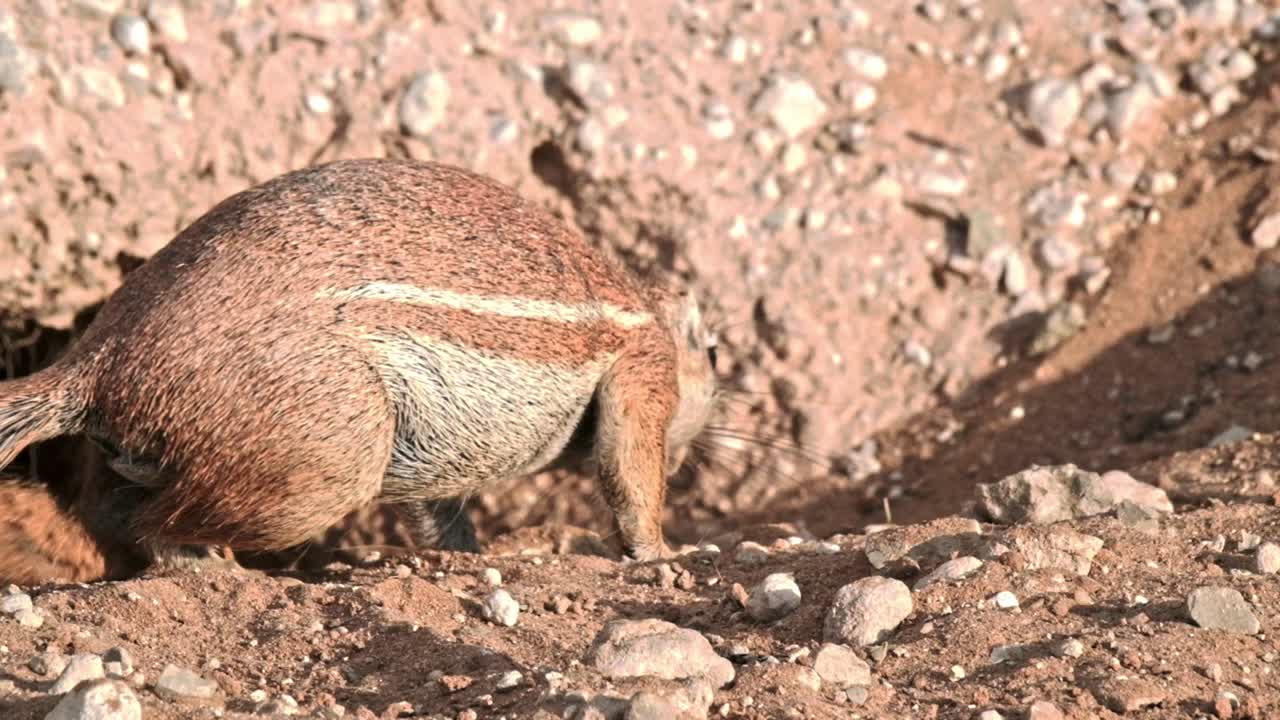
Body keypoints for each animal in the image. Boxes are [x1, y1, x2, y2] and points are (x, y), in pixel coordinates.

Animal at [0, 157, 719, 580]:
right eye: (713, 355)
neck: (642, 308)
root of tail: (98, 360)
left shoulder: (439, 454)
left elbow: (440, 517)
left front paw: (466, 560)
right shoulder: (643, 372)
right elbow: (632, 478)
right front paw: (667, 555)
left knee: (113, 510)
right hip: (337, 451)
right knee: (152, 525)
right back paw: (222, 569)